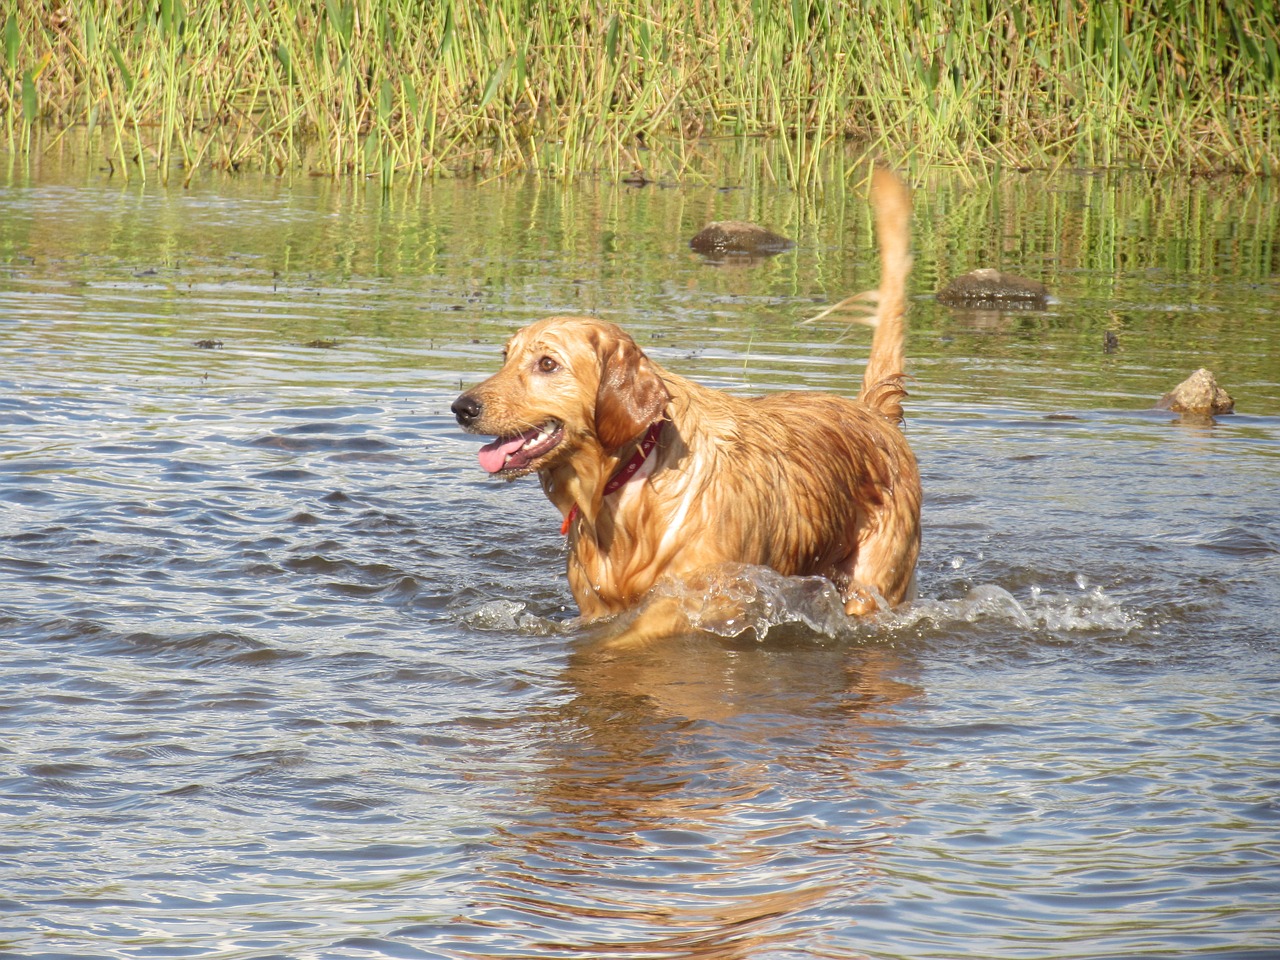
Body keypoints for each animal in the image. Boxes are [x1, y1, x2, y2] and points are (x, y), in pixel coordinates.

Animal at [458, 170, 921, 642]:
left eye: (547, 363)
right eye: (505, 356)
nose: (462, 407)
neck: (627, 480)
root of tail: (873, 413)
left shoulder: (714, 593)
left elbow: (634, 633)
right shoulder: (596, 603)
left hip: (873, 580)